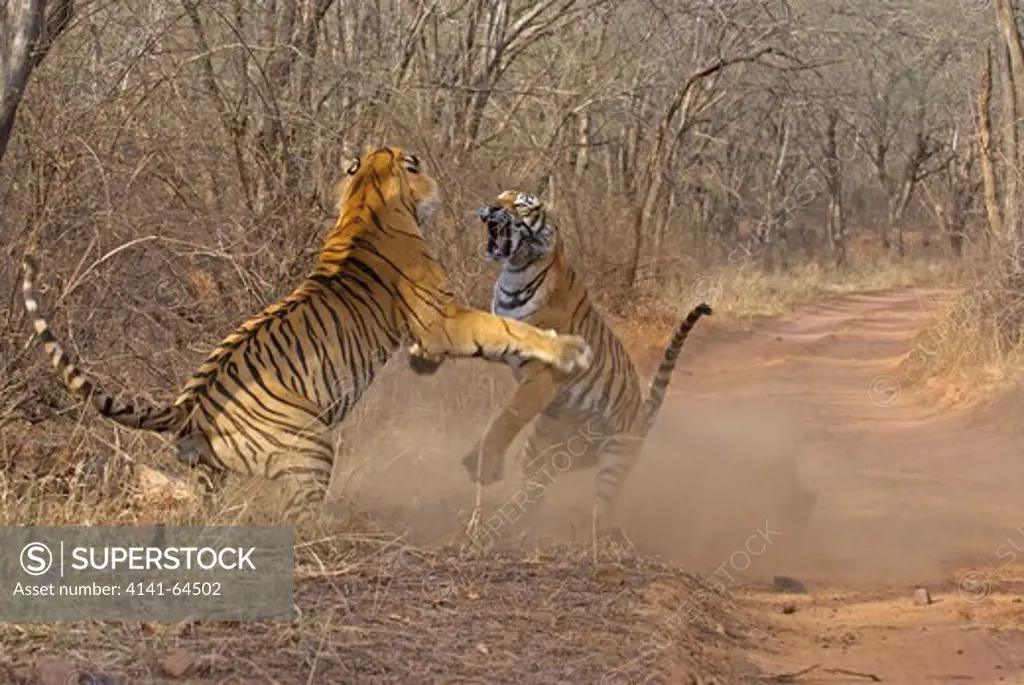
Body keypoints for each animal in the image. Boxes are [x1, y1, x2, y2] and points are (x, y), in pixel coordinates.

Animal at [22, 145, 593, 518]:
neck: (367, 195)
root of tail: (187, 407)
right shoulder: (443, 320)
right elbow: (503, 330)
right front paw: (569, 350)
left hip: (213, 474)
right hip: (312, 445)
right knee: (300, 519)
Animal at [407, 189, 712, 536]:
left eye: (521, 204)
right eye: (500, 196)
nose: (491, 208)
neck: (514, 275)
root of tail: (640, 418)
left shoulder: (542, 376)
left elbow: (508, 417)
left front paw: (485, 463)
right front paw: (425, 355)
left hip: (614, 459)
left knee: (602, 507)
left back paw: (589, 534)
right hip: (541, 444)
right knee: (534, 490)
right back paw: (511, 525)